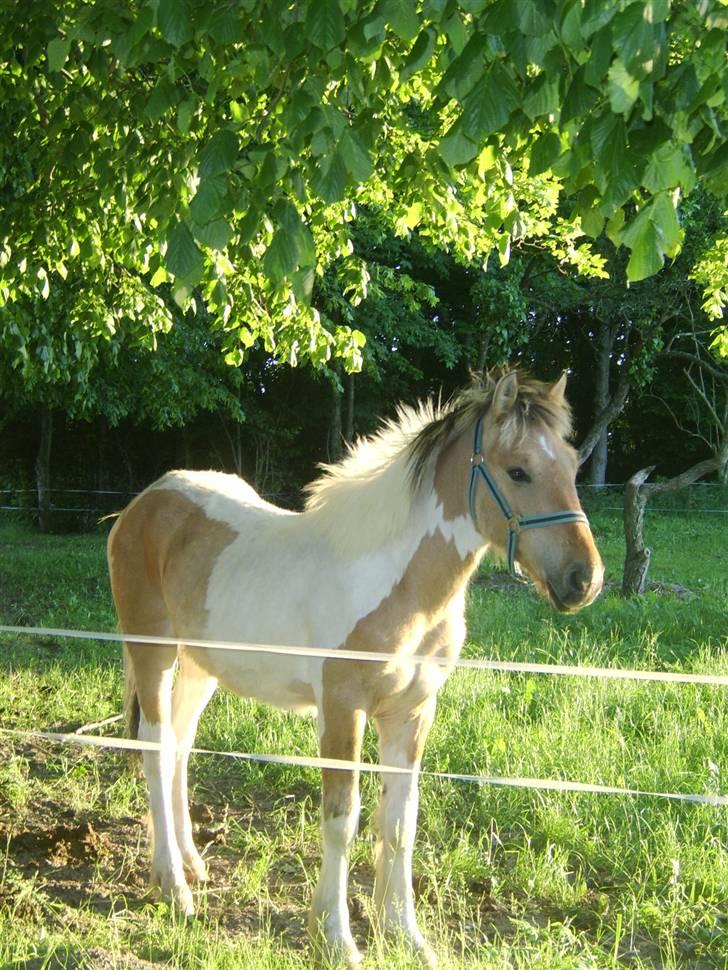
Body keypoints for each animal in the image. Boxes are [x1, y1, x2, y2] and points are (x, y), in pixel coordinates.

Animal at [104, 366, 604, 964]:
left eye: (572, 466)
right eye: (519, 471)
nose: (584, 579)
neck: (397, 584)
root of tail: (146, 501)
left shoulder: (411, 713)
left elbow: (400, 823)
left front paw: (406, 936)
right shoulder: (344, 709)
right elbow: (342, 818)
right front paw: (336, 937)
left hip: (202, 666)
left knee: (179, 745)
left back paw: (192, 864)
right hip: (152, 651)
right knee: (155, 750)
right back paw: (174, 888)